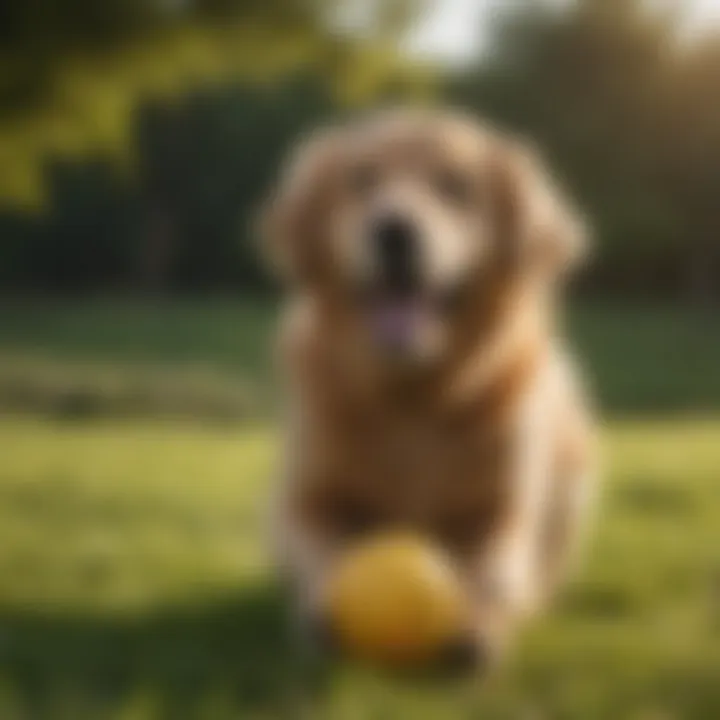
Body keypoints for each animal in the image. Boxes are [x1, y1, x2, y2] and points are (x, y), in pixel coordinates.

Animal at [258, 109, 596, 672]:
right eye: (362, 180)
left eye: (456, 186)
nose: (394, 231)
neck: (412, 402)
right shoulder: (309, 496)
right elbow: (321, 550)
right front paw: (324, 612)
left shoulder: (500, 508)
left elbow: (493, 569)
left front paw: (479, 624)